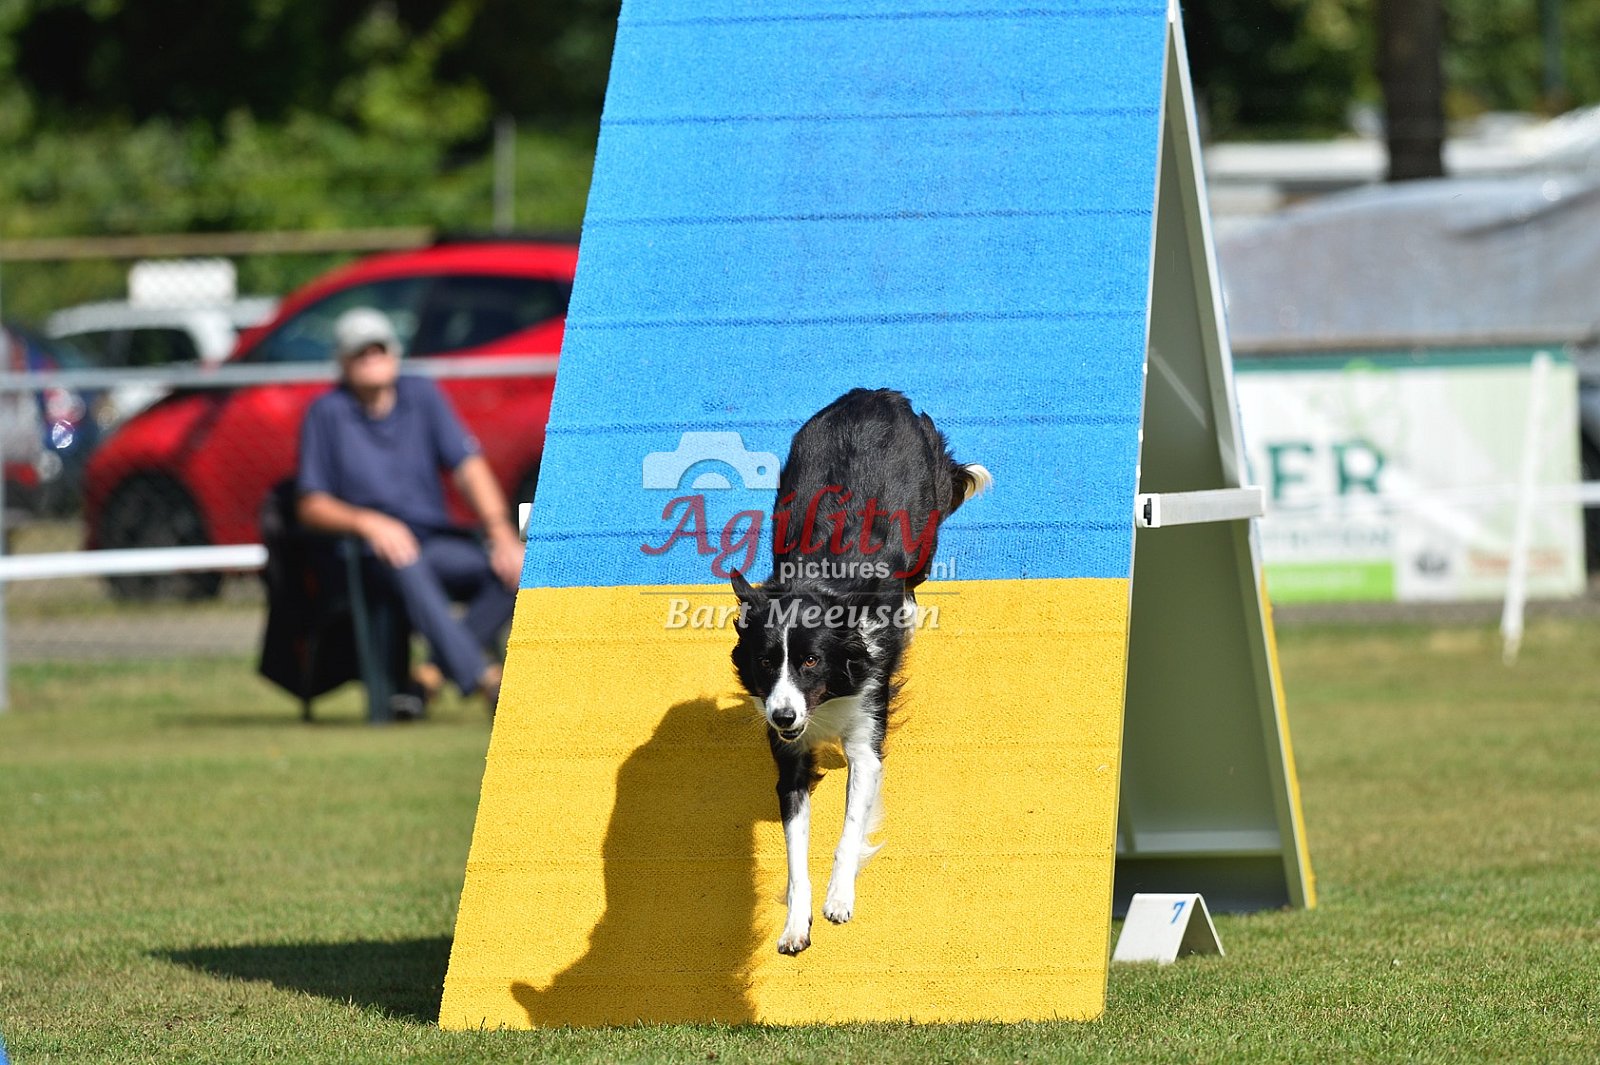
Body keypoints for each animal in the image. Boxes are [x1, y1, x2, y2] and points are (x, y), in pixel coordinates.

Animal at [730, 388, 990, 955]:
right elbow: (795, 856)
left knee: (918, 570)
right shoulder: (790, 761)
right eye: (767, 661)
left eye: (810, 660)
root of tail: (875, 394)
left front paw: (839, 898)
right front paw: (794, 925)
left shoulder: (866, 741)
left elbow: (850, 829)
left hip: (923, 522)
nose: (784, 717)